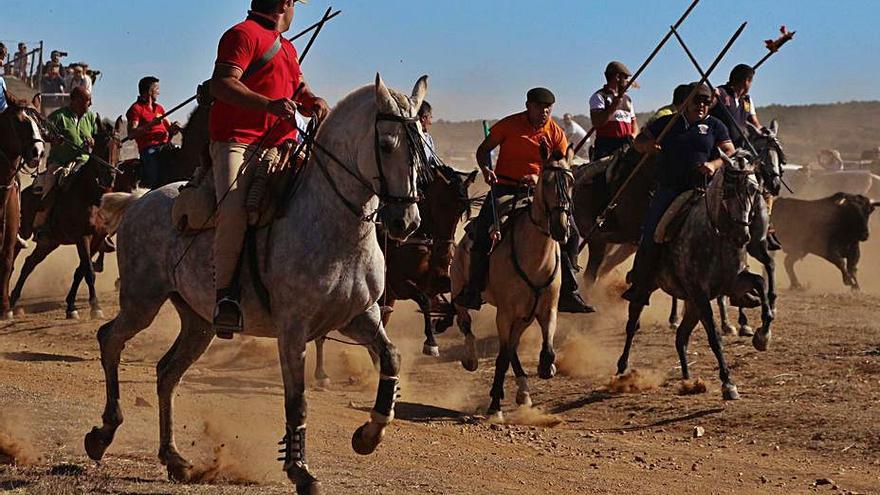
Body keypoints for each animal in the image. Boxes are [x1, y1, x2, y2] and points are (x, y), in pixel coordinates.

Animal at [84, 74, 428, 495]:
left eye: (423, 147)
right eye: (386, 145)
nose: (406, 222)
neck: (335, 225)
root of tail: (139, 199)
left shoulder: (359, 317)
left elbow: (391, 357)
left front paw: (368, 435)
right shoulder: (293, 330)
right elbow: (297, 401)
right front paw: (300, 470)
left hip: (198, 322)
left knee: (166, 372)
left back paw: (174, 457)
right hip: (142, 301)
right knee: (110, 340)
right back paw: (102, 433)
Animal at [450, 147, 576, 422]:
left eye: (570, 182)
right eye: (546, 181)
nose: (561, 228)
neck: (535, 259)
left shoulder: (545, 310)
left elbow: (545, 348)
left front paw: (546, 367)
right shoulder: (505, 313)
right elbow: (500, 358)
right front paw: (495, 407)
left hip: (523, 317)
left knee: (512, 348)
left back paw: (523, 391)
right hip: (459, 290)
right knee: (466, 323)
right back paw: (471, 359)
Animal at [616, 149, 772, 402]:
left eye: (753, 189)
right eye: (729, 190)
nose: (743, 236)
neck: (716, 235)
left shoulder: (732, 283)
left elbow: (760, 282)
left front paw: (762, 337)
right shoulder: (700, 293)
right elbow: (715, 337)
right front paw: (728, 384)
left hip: (691, 305)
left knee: (681, 336)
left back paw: (688, 378)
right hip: (647, 287)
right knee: (633, 325)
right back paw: (622, 369)